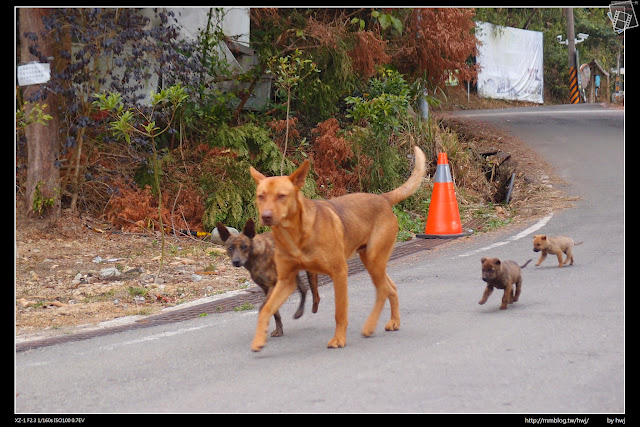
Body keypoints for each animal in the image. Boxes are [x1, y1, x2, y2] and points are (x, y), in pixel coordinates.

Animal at [249, 145, 424, 352]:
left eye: (281, 196)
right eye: (261, 196)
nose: (266, 216)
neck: (295, 235)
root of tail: (383, 198)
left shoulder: (339, 272)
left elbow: (339, 313)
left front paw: (339, 339)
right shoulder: (286, 281)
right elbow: (266, 309)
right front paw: (259, 339)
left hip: (374, 260)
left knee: (382, 290)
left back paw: (369, 326)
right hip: (371, 260)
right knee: (391, 288)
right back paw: (394, 321)